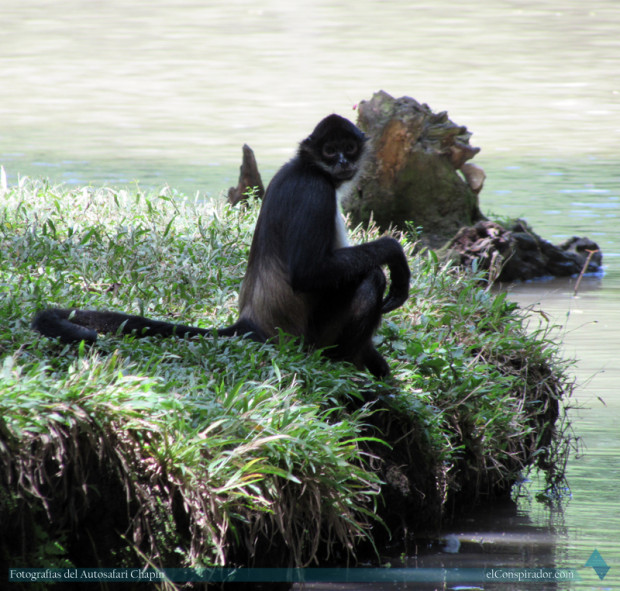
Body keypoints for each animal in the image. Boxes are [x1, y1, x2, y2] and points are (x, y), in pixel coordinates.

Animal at [34, 113, 412, 376]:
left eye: (349, 148)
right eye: (331, 151)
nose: (344, 162)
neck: (308, 167)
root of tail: (252, 324)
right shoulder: (314, 191)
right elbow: (307, 273)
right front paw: (394, 253)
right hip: (309, 338)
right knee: (371, 277)